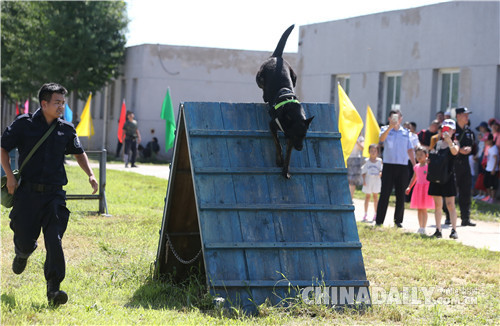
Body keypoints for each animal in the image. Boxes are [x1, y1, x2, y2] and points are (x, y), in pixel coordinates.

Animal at [256, 24, 314, 180]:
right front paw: (279, 160)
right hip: (259, 77)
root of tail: (277, 57)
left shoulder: (290, 139)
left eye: (304, 136)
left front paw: (285, 170)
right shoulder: (272, 125)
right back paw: (265, 97)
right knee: (262, 89)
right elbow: (278, 144)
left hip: (294, 77)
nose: (300, 148)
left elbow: (288, 155)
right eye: (296, 135)